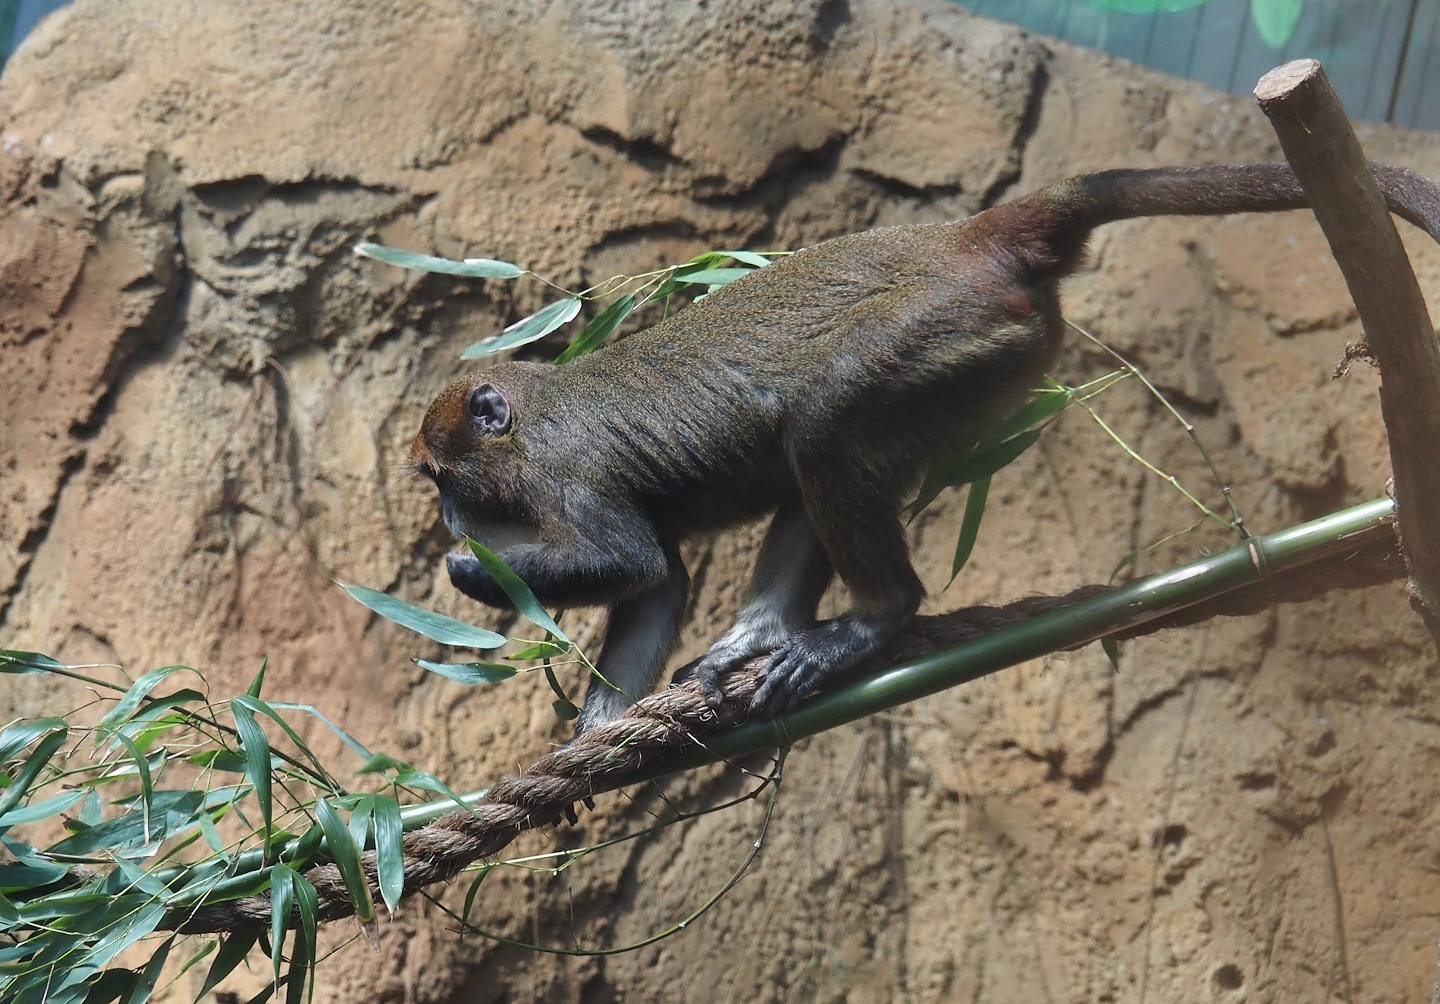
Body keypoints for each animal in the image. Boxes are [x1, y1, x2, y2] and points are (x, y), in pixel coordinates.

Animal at [410, 161, 1440, 735]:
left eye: (448, 483)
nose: (449, 520)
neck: (536, 409)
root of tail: (969, 238)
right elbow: (659, 582)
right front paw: (594, 738)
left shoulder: (563, 472)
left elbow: (631, 561)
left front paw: (471, 571)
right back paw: (768, 631)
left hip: (959, 334)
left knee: (824, 421)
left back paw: (874, 616)